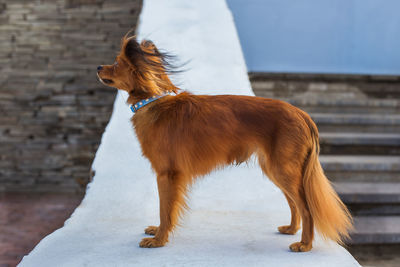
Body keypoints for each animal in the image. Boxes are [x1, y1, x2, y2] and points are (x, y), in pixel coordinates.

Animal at [97, 35, 354, 253]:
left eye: (117, 63)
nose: (99, 67)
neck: (153, 102)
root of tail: (302, 114)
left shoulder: (167, 174)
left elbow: (165, 209)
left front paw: (159, 240)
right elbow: (165, 210)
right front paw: (157, 232)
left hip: (284, 170)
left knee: (306, 207)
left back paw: (304, 245)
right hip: (276, 169)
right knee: (294, 204)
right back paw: (291, 230)